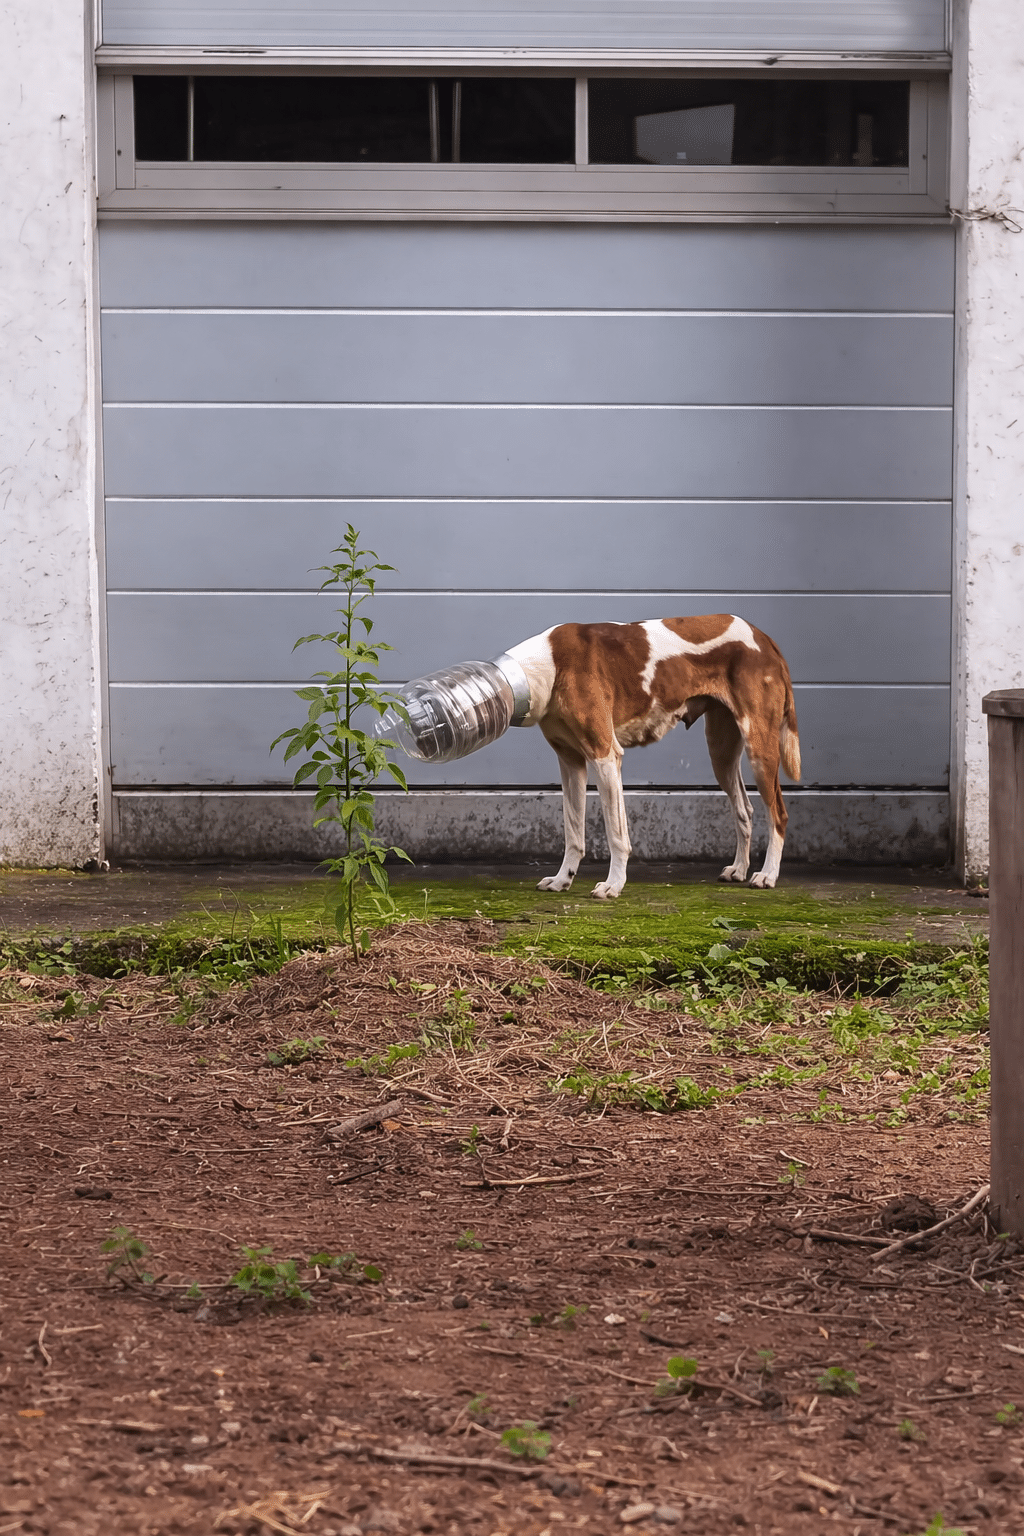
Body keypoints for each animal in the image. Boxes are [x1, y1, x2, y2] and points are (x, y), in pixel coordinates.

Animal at [503, 614, 801, 898]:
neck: (552, 662)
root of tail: (763, 638)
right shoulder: (571, 763)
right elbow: (573, 834)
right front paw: (562, 879)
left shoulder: (605, 756)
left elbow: (616, 835)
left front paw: (614, 885)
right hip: (722, 754)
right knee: (744, 810)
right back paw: (739, 869)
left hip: (759, 750)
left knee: (779, 815)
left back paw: (768, 875)